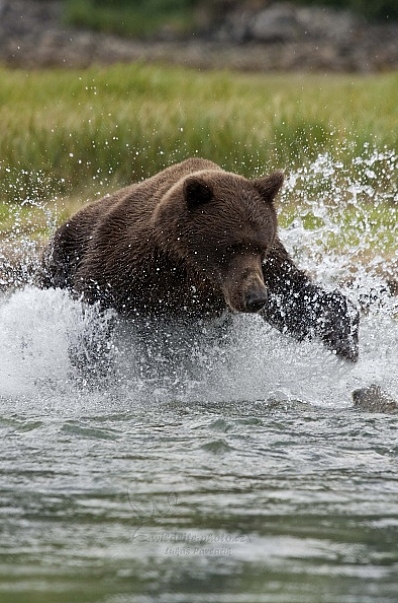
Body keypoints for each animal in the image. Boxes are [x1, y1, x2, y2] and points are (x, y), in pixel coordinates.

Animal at [38, 158, 360, 360]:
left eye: (260, 247)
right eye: (230, 246)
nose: (256, 297)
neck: (189, 267)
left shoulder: (270, 268)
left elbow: (296, 301)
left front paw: (345, 339)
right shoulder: (125, 260)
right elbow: (95, 310)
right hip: (60, 259)